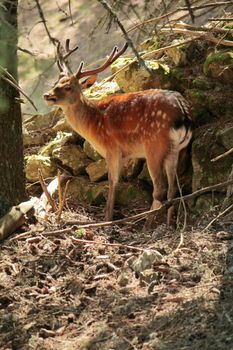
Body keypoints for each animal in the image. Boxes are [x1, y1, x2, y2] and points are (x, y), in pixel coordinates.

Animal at [43, 41, 193, 226]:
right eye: (55, 83)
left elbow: (112, 182)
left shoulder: (112, 149)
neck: (93, 125)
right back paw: (169, 223)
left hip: (154, 145)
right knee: (173, 188)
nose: (47, 95)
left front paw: (107, 219)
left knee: (160, 188)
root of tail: (183, 113)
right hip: (175, 150)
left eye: (68, 87)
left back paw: (147, 225)